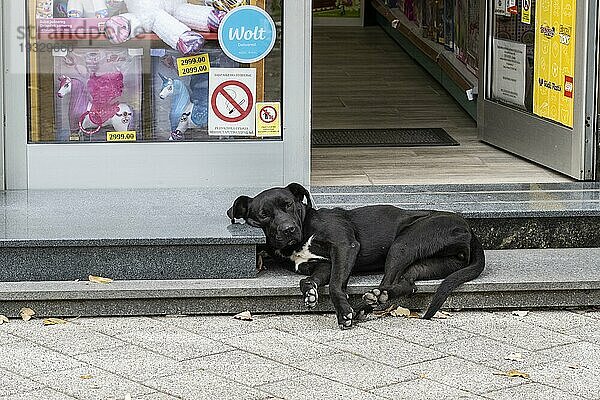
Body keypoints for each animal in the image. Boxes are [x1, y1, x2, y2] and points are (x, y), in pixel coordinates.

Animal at [227, 184, 486, 328]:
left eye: (289, 205)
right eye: (264, 214)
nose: (288, 229)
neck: (304, 231)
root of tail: (470, 230)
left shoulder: (345, 246)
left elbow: (334, 286)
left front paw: (343, 312)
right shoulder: (321, 265)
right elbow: (311, 279)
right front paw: (310, 291)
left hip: (404, 243)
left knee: (389, 280)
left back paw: (368, 303)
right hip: (428, 264)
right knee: (406, 284)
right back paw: (372, 302)